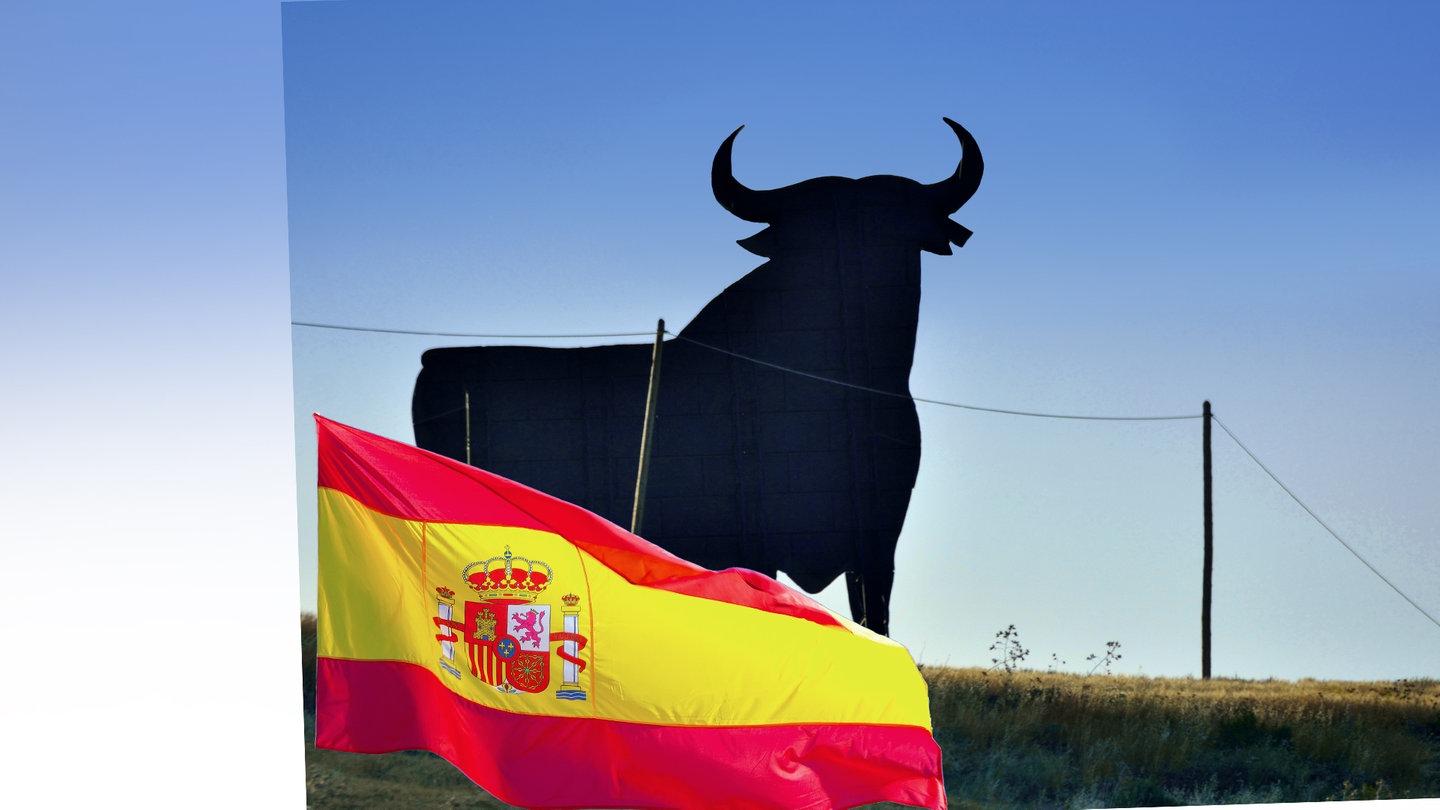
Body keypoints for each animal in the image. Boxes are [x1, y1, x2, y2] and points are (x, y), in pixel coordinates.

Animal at [412, 118, 983, 636]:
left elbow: (874, 618)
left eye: (891, 231)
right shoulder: (755, 538)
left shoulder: (877, 542)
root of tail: (432, 362)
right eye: (812, 238)